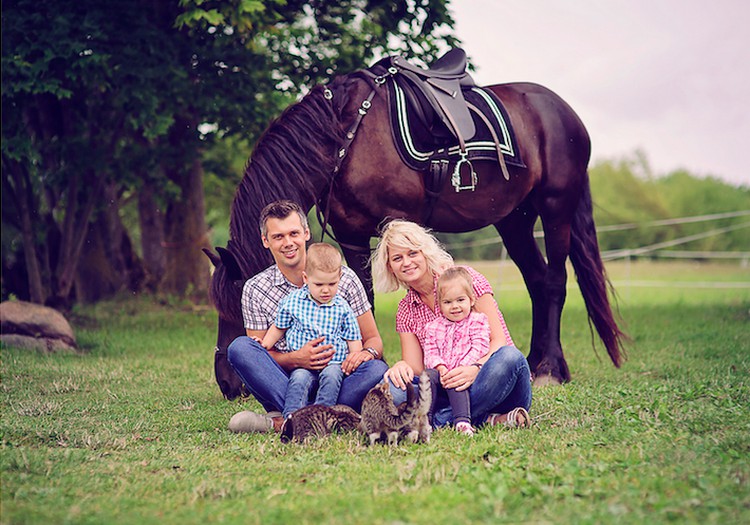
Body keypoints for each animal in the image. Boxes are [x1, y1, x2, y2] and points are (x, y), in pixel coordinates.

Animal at [204, 53, 628, 400]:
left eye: (238, 307)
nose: (227, 382)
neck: (343, 135)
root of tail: (563, 111)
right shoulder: (352, 235)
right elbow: (362, 303)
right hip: (514, 220)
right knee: (538, 282)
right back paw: (535, 360)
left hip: (556, 208)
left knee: (554, 282)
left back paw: (550, 369)